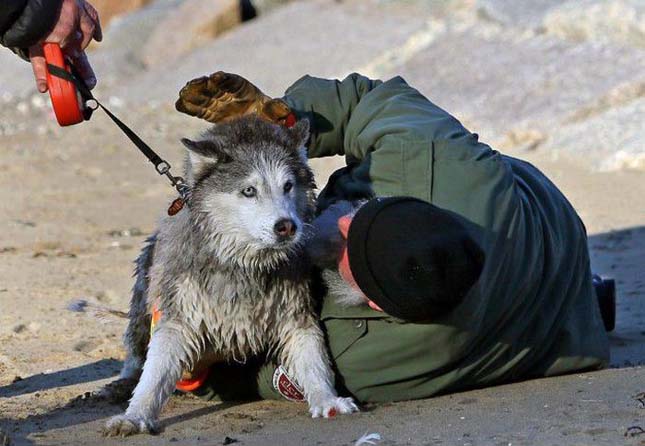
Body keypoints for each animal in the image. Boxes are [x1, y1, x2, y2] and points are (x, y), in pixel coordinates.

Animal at [103, 116, 360, 438]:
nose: (286, 226)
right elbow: (154, 373)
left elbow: (314, 361)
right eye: (249, 191)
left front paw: (328, 400)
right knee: (135, 351)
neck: (242, 265)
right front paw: (135, 415)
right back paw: (120, 384)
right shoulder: (178, 314)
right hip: (144, 286)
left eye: (288, 186)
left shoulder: (295, 310)